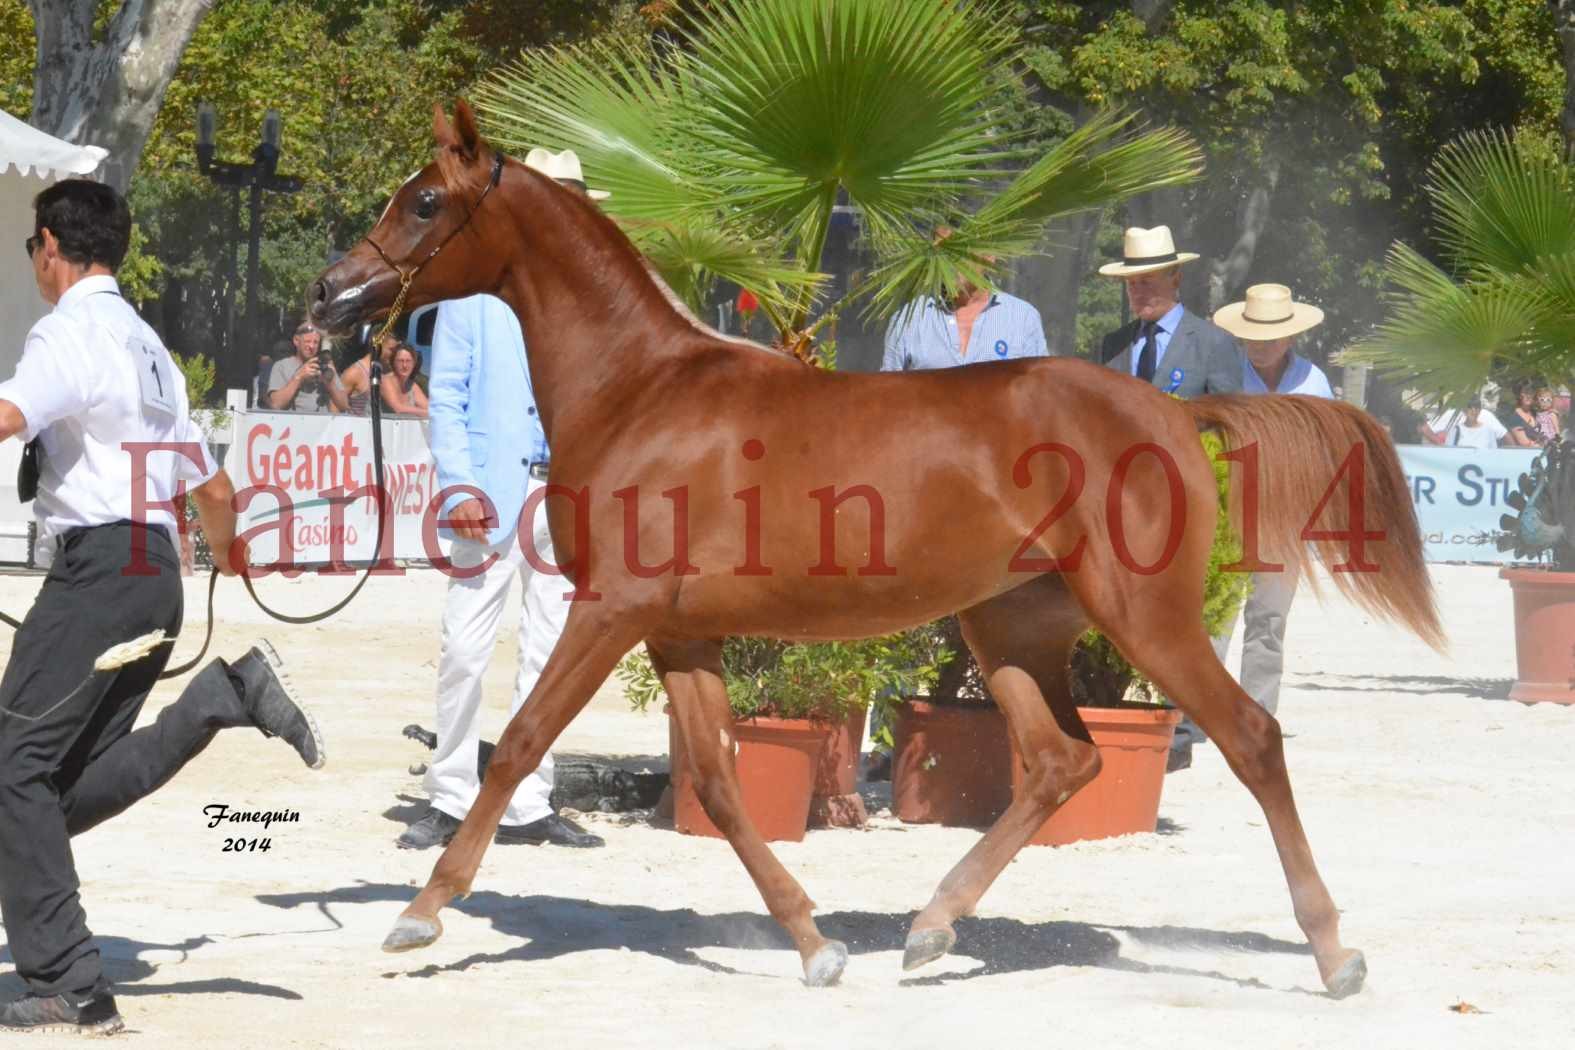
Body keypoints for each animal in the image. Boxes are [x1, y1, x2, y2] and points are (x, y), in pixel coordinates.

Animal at [307, 102, 1442, 1001]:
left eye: (423, 203)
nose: (330, 294)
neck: (642, 391)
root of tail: (1172, 408)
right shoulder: (678, 633)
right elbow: (716, 781)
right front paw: (815, 945)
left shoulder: (612, 610)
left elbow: (519, 743)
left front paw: (420, 915)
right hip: (1011, 624)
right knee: (1060, 760)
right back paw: (931, 929)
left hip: (1142, 615)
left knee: (1250, 737)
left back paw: (1334, 954)